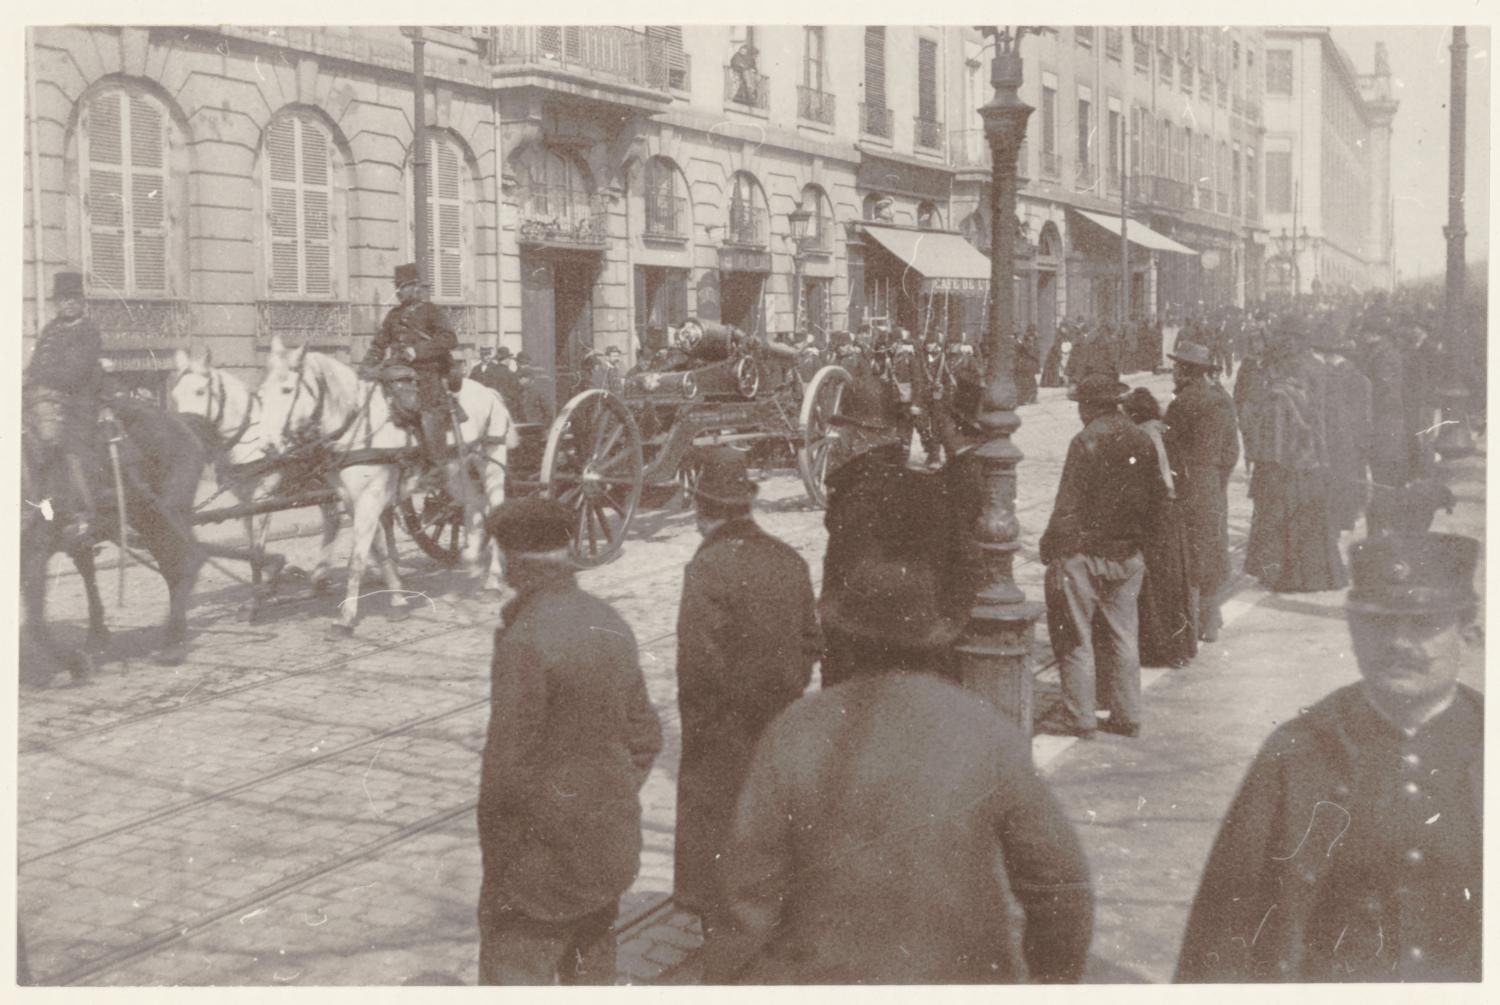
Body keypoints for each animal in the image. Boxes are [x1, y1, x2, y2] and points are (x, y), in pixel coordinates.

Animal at [21, 399, 210, 681]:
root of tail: (179, 421)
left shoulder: (35, 550)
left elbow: (35, 621)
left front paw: (76, 664)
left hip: (162, 514)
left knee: (187, 561)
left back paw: (173, 645)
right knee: (175, 566)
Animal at [168, 346, 342, 603]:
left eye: (200, 391)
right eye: (175, 395)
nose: (183, 434)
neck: (248, 438)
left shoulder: (264, 498)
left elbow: (259, 549)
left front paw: (264, 591)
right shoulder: (244, 502)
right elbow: (252, 551)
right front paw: (257, 591)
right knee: (334, 519)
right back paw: (320, 579)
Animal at [258, 339, 516, 639]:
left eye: (287, 389)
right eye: (260, 393)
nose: (267, 446)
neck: (356, 424)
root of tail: (490, 392)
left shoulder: (370, 498)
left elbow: (357, 559)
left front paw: (345, 618)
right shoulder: (355, 499)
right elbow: (379, 550)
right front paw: (398, 601)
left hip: (491, 463)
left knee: (493, 509)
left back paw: (492, 582)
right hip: (456, 471)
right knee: (473, 506)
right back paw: (472, 560)